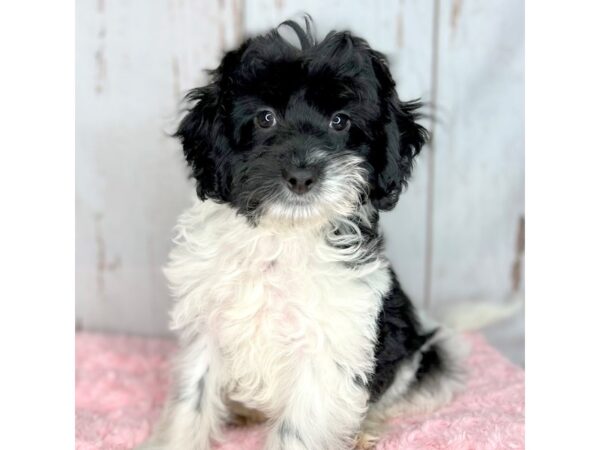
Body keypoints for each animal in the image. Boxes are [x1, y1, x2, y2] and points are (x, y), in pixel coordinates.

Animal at [141, 17, 464, 450]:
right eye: (265, 118)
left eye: (340, 121)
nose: (301, 175)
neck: (282, 237)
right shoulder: (206, 327)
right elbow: (191, 401)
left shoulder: (329, 346)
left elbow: (298, 430)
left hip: (424, 354)